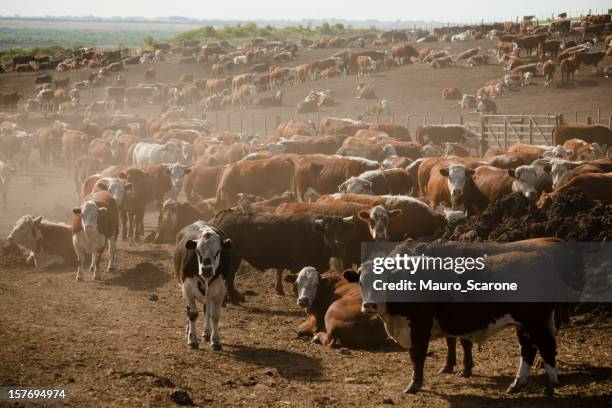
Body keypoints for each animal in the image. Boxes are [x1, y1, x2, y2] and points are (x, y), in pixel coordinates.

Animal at [173, 222, 233, 350]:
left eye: (218, 251)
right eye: (198, 251)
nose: (206, 269)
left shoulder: (220, 292)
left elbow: (214, 316)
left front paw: (215, 340)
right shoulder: (187, 289)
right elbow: (192, 314)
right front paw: (192, 340)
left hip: (209, 296)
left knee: (207, 311)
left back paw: (206, 332)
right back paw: (189, 330)